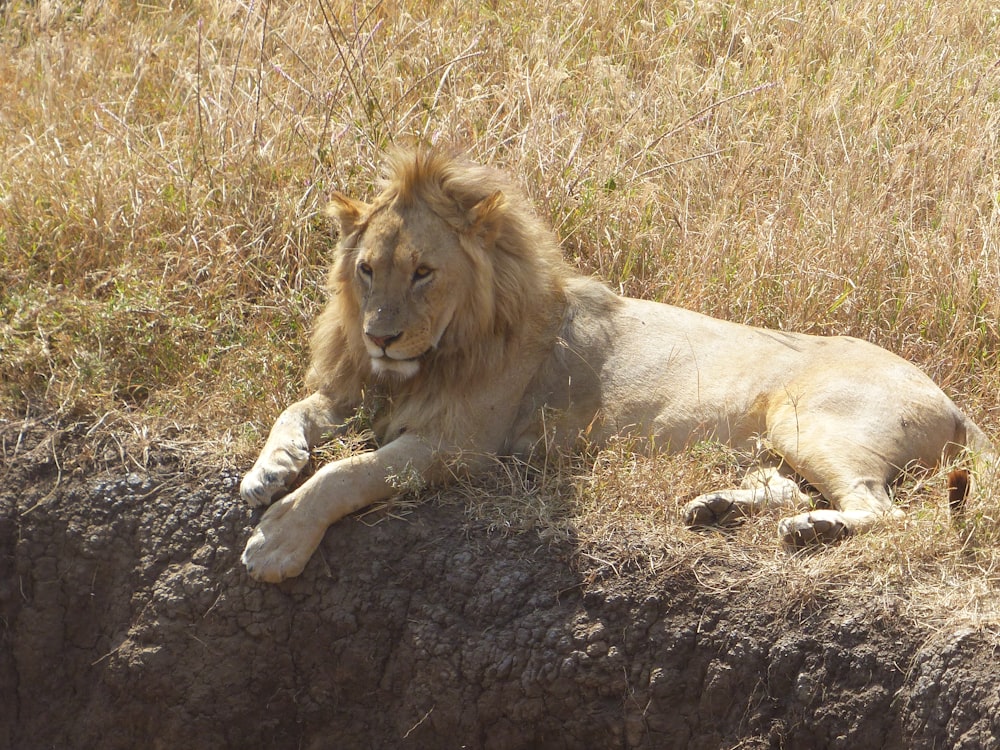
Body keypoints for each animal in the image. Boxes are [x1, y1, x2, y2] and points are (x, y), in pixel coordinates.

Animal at [238, 145, 996, 580]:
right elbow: (299, 410)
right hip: (779, 442)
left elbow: (348, 472)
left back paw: (812, 533)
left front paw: (278, 541)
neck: (443, 349)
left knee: (884, 512)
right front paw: (268, 470)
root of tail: (954, 402)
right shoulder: (361, 390)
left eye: (423, 272)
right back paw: (717, 510)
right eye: (367, 270)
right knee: (796, 488)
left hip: (807, 417)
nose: (380, 338)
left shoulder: (461, 445)